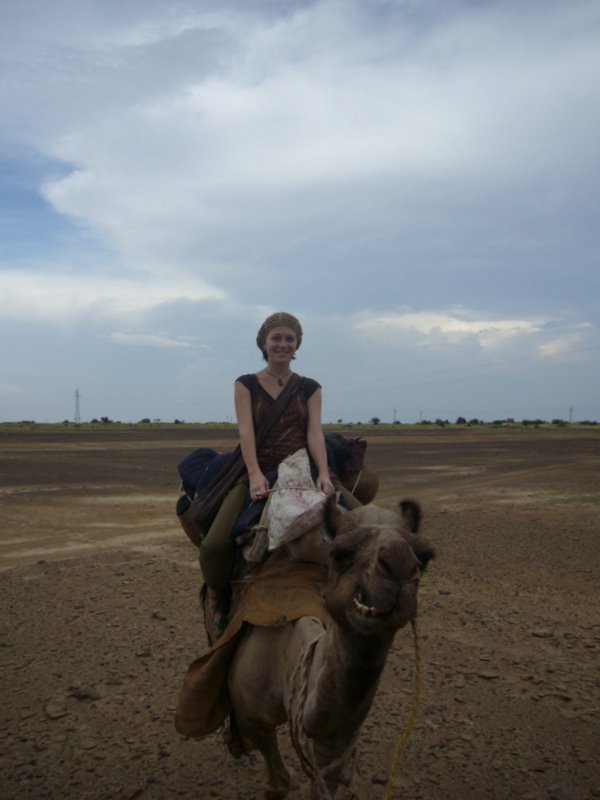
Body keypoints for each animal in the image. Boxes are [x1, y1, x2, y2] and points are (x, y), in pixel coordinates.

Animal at [225, 497, 435, 799]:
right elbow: (278, 783)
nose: (398, 562)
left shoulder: (333, 744)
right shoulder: (251, 716)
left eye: (425, 556)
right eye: (340, 554)